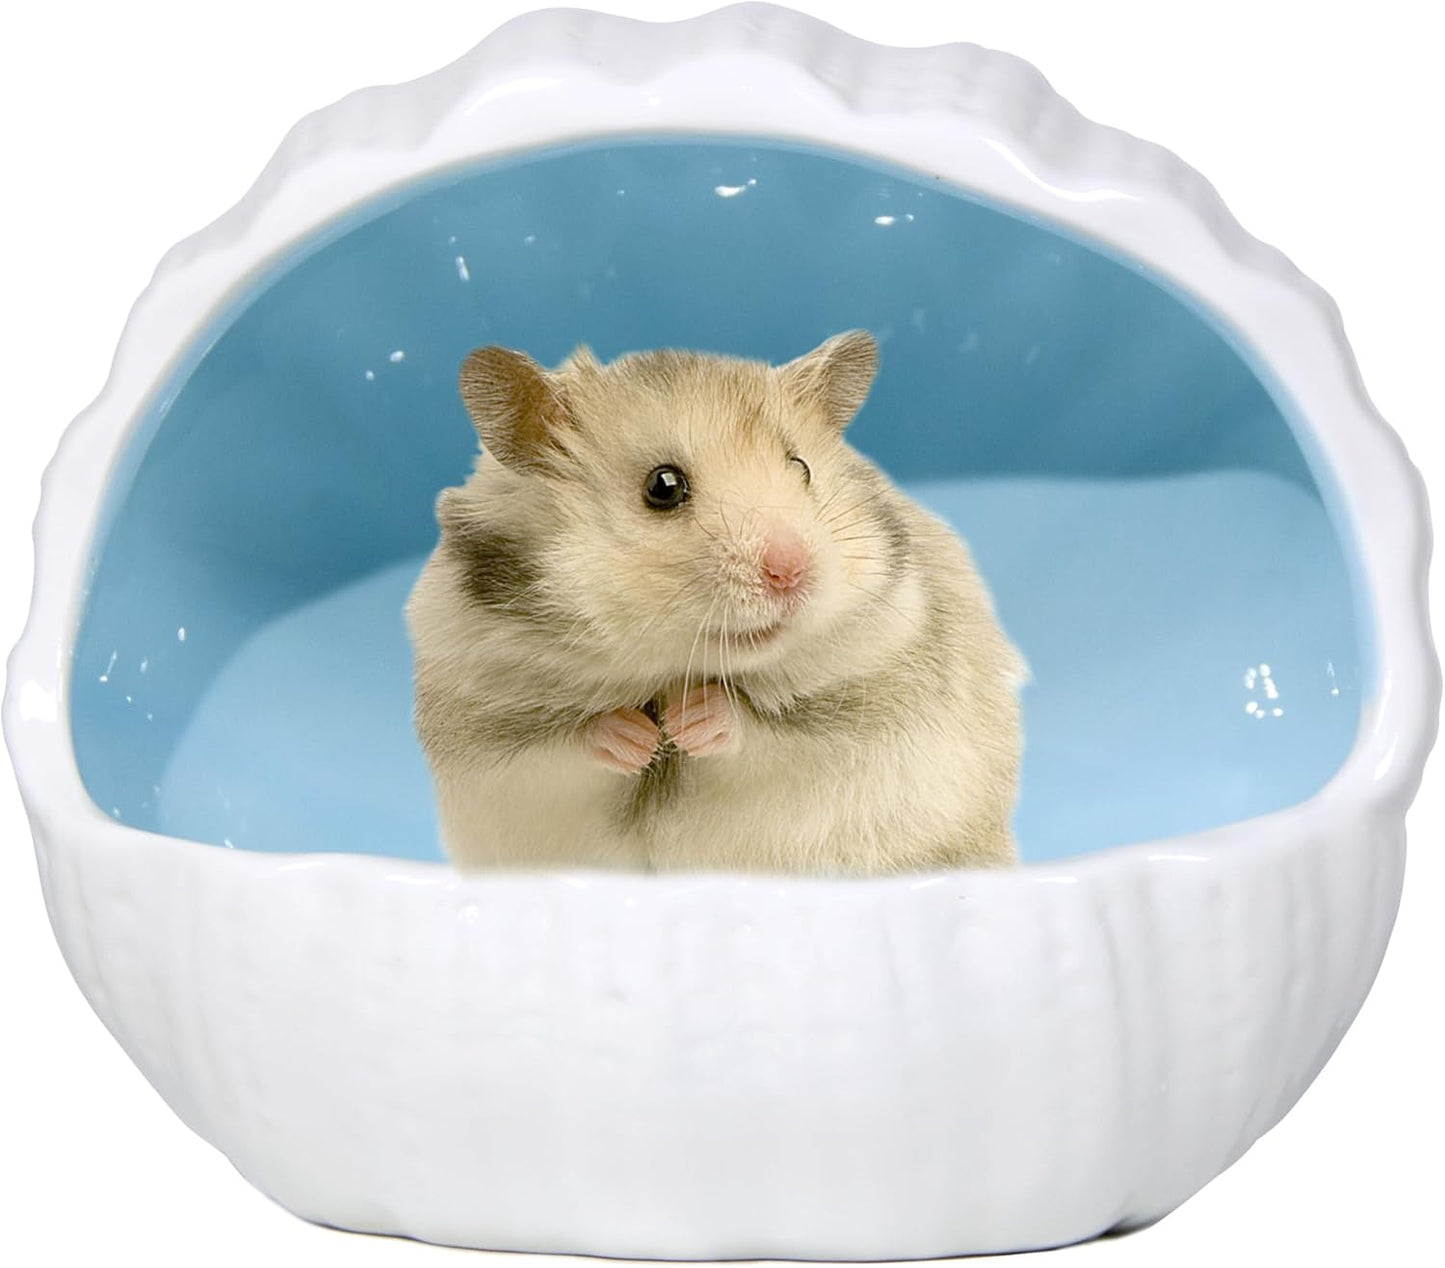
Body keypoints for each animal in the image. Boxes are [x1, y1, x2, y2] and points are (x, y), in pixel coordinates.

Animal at [406, 331, 1024, 874]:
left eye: (801, 467)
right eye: (663, 486)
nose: (791, 572)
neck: (675, 668)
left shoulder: (866, 715)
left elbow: (763, 734)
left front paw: (689, 721)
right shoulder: (484, 743)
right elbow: (565, 747)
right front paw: (639, 737)